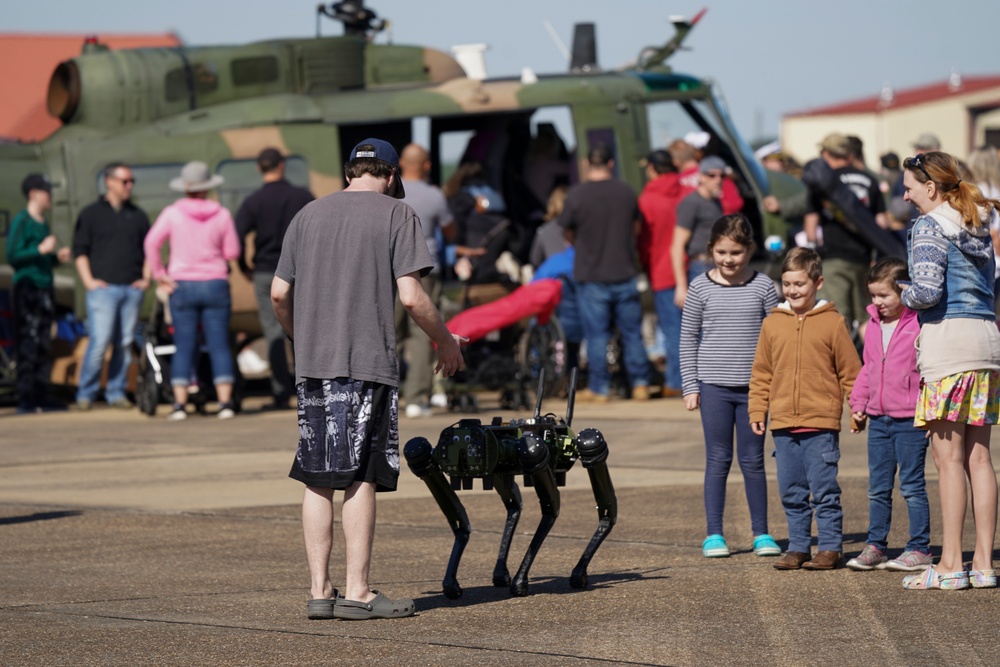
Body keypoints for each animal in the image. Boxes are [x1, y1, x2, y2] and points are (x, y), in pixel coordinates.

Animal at [402, 370, 612, 600]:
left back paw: (578, 573)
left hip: (579, 449)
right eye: (456, 442)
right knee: (514, 504)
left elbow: (551, 509)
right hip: (500, 473)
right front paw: (451, 583)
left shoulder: (531, 453)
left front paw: (521, 581)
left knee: (605, 507)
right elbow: (460, 521)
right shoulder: (437, 459)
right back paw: (501, 573)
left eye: (469, 441)